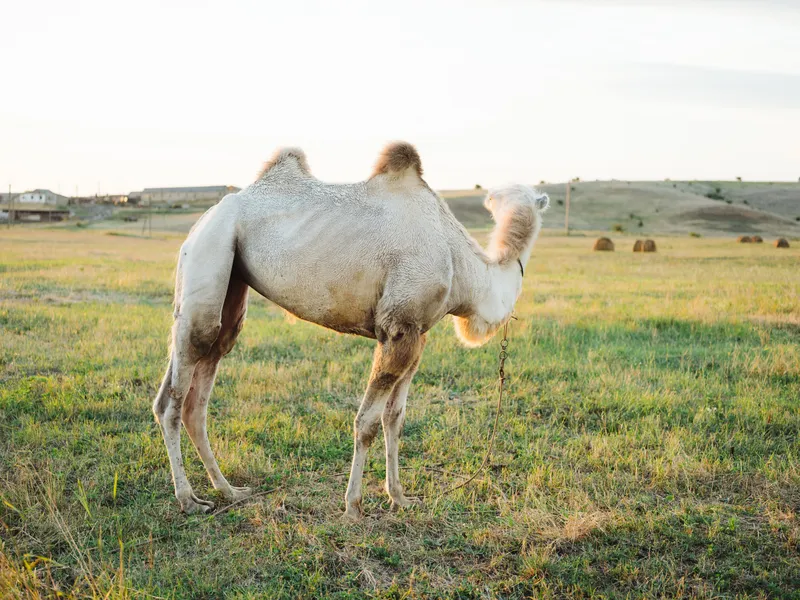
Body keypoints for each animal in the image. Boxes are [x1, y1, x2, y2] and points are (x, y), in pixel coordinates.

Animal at [152, 142, 549, 519]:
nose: (495, 199)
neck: (463, 268)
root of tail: (207, 215)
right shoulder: (397, 327)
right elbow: (367, 422)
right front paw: (354, 506)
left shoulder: (418, 335)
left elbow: (395, 418)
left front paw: (400, 497)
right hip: (210, 252)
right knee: (175, 394)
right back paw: (188, 500)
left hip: (231, 283)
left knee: (201, 386)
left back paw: (228, 490)